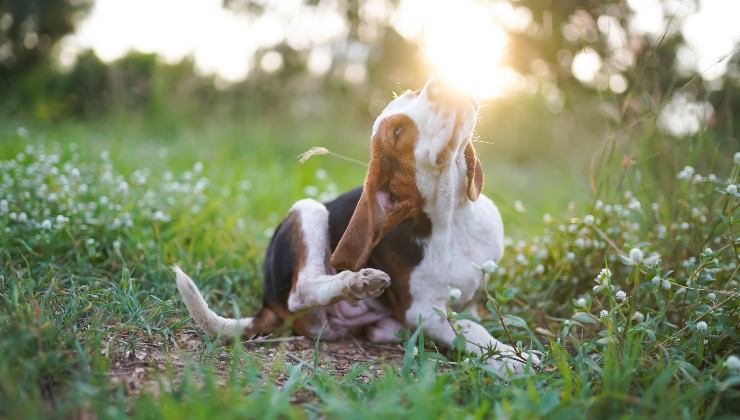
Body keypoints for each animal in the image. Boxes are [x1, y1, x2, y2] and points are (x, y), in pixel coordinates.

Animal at [176, 77, 540, 372]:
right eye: (397, 132)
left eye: (414, 92)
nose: (440, 82)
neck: (452, 219)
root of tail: (268, 301)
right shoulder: (422, 310)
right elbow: (471, 330)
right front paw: (510, 358)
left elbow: (472, 318)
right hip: (308, 210)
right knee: (301, 292)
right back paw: (357, 282)